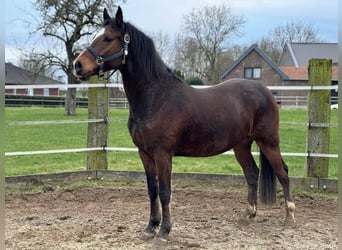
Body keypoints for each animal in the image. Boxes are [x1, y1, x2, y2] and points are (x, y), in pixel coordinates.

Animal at [73, 6, 296, 242]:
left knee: (283, 173)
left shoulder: (163, 153)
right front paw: (150, 227)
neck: (156, 97)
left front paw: (163, 232)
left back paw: (289, 217)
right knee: (252, 173)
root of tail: (265, 91)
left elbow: (164, 192)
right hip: (241, 145)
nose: (78, 65)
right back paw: (248, 215)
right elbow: (152, 190)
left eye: (108, 38)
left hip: (268, 141)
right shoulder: (144, 153)